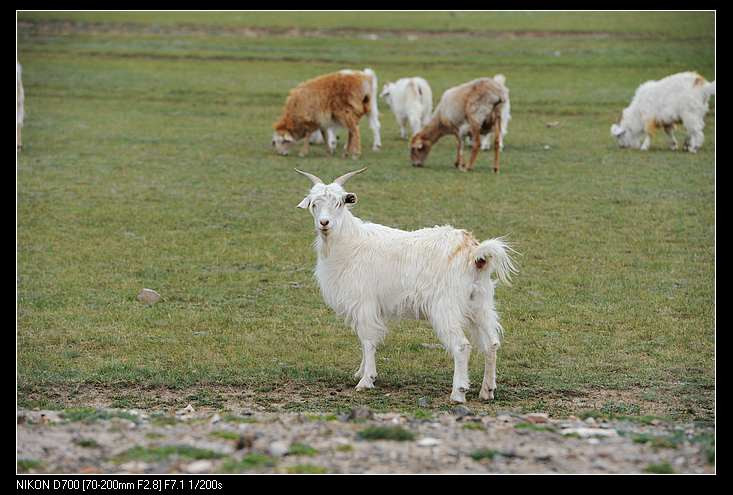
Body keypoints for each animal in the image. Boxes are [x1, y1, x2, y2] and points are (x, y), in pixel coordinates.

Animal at [294, 167, 516, 404]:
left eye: (339, 203)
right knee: (491, 344)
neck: (349, 243)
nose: (324, 223)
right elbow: (365, 340)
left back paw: (458, 393)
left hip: (446, 307)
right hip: (480, 304)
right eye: (314, 204)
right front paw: (360, 372)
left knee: (461, 346)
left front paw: (366, 380)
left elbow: (368, 340)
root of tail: (474, 252)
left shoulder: (364, 302)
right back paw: (487, 391)